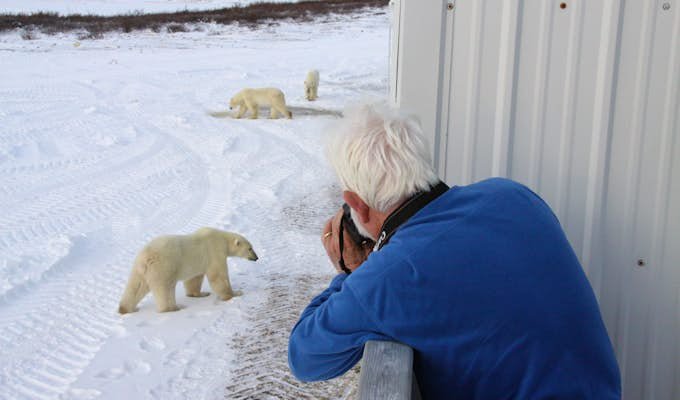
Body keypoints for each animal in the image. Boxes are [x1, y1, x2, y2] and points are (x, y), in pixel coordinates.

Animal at [117, 227, 258, 314]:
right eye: (250, 248)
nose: (256, 257)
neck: (222, 239)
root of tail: (146, 257)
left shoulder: (198, 263)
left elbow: (194, 278)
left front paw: (200, 293)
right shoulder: (215, 251)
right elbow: (218, 275)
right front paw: (235, 293)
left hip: (140, 269)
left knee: (136, 286)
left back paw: (125, 309)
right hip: (164, 267)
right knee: (165, 289)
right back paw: (175, 308)